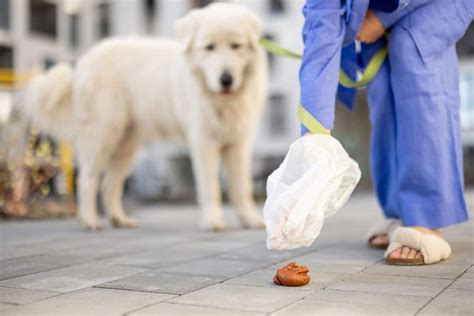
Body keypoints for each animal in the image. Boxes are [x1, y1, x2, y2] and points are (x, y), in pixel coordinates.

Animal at [25, 3, 266, 232]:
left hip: (126, 146)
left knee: (110, 184)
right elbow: (210, 188)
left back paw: (119, 219)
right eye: (209, 47)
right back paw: (91, 221)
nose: (226, 79)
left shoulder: (239, 144)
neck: (223, 102)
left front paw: (250, 219)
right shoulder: (204, 143)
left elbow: (242, 187)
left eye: (236, 46)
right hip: (102, 137)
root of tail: (83, 63)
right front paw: (213, 221)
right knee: (87, 181)